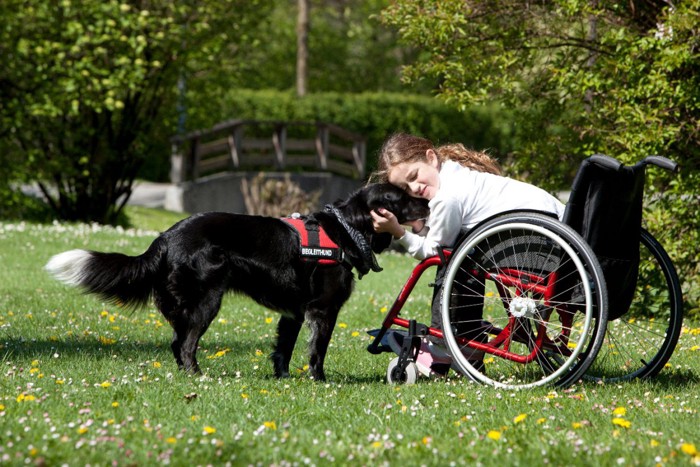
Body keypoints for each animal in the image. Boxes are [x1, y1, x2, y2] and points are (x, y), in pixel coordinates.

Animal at [45, 183, 426, 380]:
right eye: (403, 198)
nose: (427, 199)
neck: (345, 230)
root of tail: (166, 237)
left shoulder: (293, 312)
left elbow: (283, 349)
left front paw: (283, 380)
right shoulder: (323, 309)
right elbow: (317, 351)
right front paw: (319, 381)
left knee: (176, 342)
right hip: (207, 300)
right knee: (186, 344)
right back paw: (198, 376)